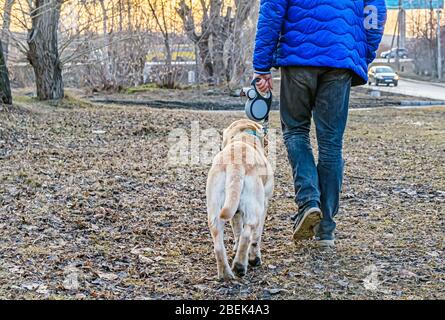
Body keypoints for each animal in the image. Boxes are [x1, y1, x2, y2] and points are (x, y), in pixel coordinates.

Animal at [206, 119, 272, 278]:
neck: (244, 134)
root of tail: (235, 164)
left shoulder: (235, 212)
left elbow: (237, 230)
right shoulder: (264, 204)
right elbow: (255, 236)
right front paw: (254, 257)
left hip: (216, 212)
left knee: (218, 243)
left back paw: (225, 274)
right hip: (255, 208)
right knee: (248, 233)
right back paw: (240, 265)